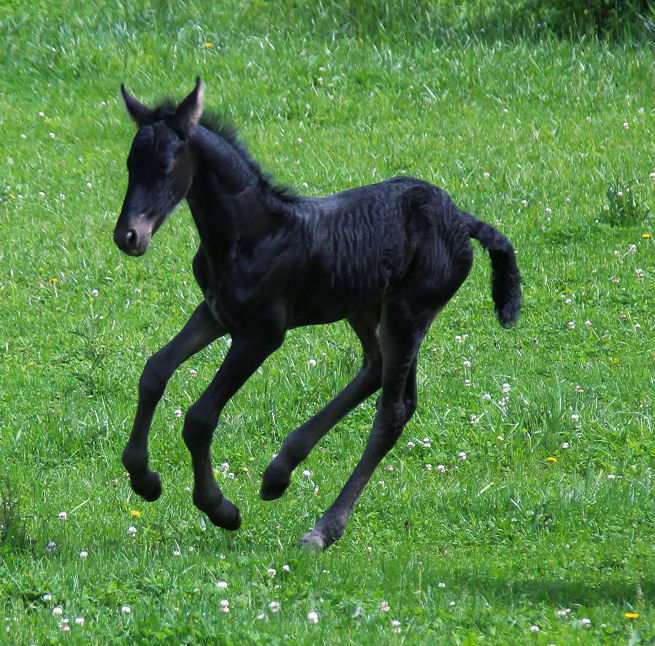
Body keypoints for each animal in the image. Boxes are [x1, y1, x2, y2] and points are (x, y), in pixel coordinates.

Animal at [113, 77, 521, 549]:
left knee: (393, 411)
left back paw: (323, 529)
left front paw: (219, 509)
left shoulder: (262, 334)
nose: (128, 236)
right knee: (376, 369)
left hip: (411, 311)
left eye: (166, 166)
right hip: (367, 305)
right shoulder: (214, 313)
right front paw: (144, 479)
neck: (251, 234)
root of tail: (462, 218)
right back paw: (278, 473)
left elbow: (199, 418)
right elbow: (154, 371)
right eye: (130, 164)